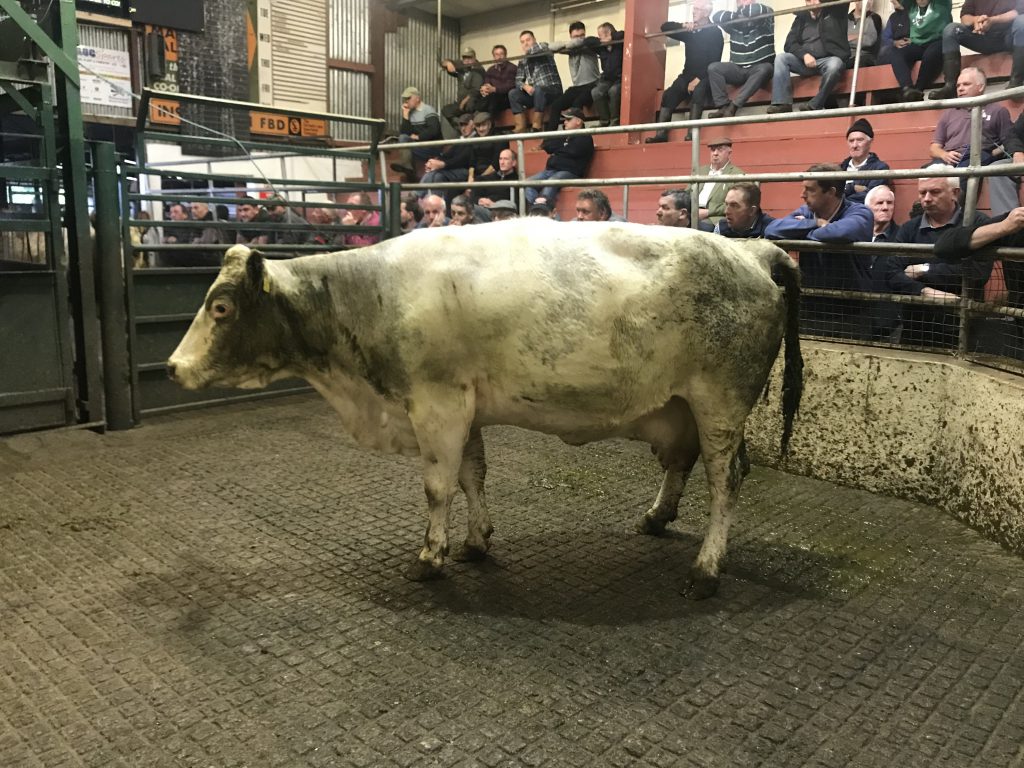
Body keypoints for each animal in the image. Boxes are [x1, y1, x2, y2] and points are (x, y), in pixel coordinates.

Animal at [167, 220, 802, 599]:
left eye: (221, 307)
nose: (173, 367)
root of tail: (749, 249)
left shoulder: (436, 403)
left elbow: (438, 486)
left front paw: (431, 556)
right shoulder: (464, 405)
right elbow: (472, 475)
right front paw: (475, 542)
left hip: (720, 401)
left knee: (725, 480)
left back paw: (706, 569)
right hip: (681, 405)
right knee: (683, 464)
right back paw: (655, 517)